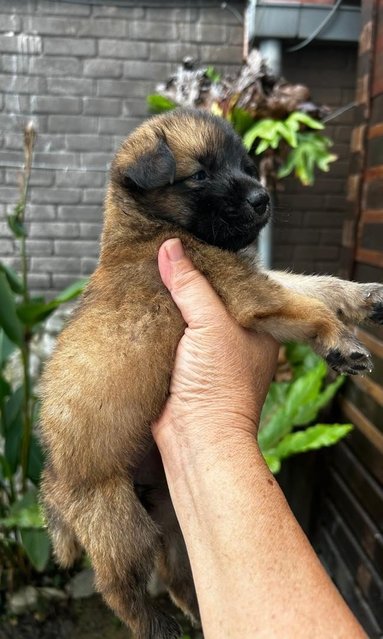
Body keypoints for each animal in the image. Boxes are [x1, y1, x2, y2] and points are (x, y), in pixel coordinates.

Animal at [39, 107, 383, 636]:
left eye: (246, 166)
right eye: (200, 175)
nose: (262, 199)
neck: (144, 226)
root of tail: (51, 487)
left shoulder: (255, 277)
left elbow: (312, 285)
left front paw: (362, 295)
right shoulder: (246, 291)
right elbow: (307, 305)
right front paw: (338, 341)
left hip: (173, 522)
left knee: (182, 580)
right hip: (119, 521)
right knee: (119, 589)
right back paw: (157, 625)